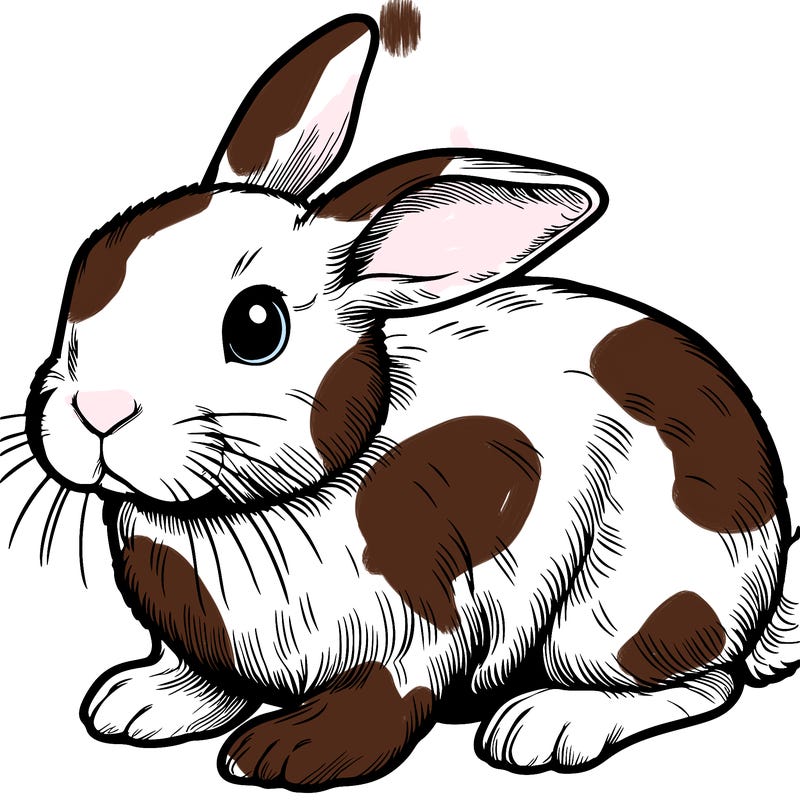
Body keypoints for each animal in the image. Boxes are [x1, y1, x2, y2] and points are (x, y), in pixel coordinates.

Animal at [15, 11, 800, 792]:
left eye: (257, 326)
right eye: (86, 271)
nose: (98, 409)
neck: (248, 510)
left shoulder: (422, 624)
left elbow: (390, 697)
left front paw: (287, 752)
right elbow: (205, 681)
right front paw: (138, 704)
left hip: (624, 611)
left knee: (700, 684)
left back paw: (546, 725)